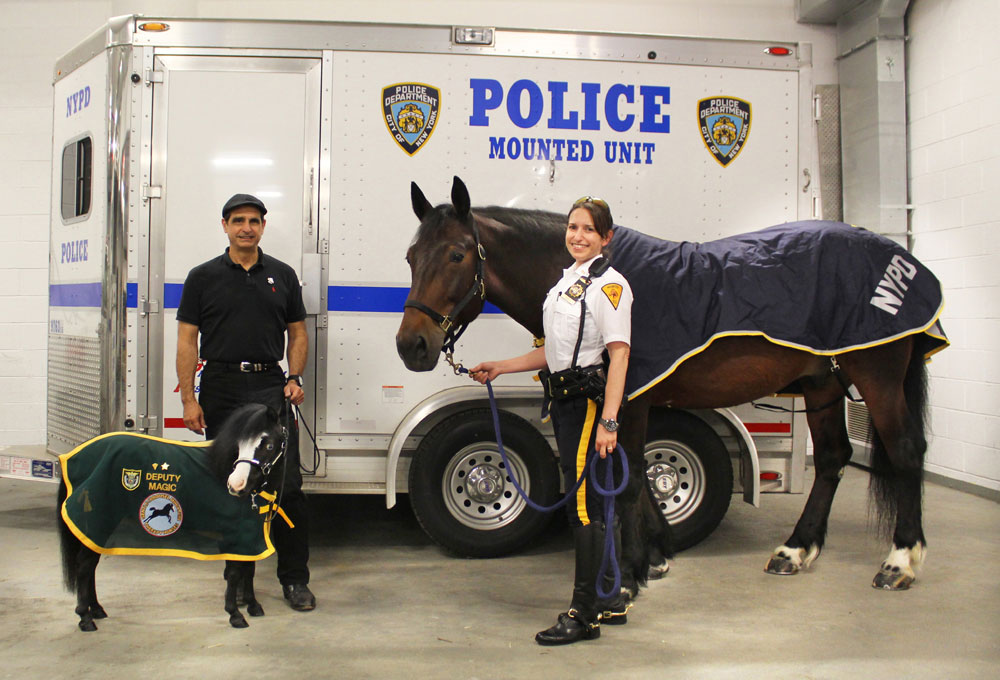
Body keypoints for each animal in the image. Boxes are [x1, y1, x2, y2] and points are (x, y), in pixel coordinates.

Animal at [58, 404, 288, 632]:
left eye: (269, 446)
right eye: (239, 446)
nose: (236, 484)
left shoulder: (250, 532)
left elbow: (249, 568)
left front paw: (253, 605)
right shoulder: (236, 534)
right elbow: (234, 572)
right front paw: (235, 614)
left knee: (90, 565)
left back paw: (96, 610)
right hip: (98, 521)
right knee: (85, 566)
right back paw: (85, 617)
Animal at [396, 175, 944, 596]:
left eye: (457, 255)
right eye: (411, 256)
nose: (412, 346)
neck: (595, 279)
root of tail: (900, 257)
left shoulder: (629, 396)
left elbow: (633, 475)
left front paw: (631, 572)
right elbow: (631, 473)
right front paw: (657, 552)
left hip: (877, 374)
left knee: (905, 450)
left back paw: (900, 560)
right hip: (822, 383)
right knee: (832, 458)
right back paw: (795, 550)